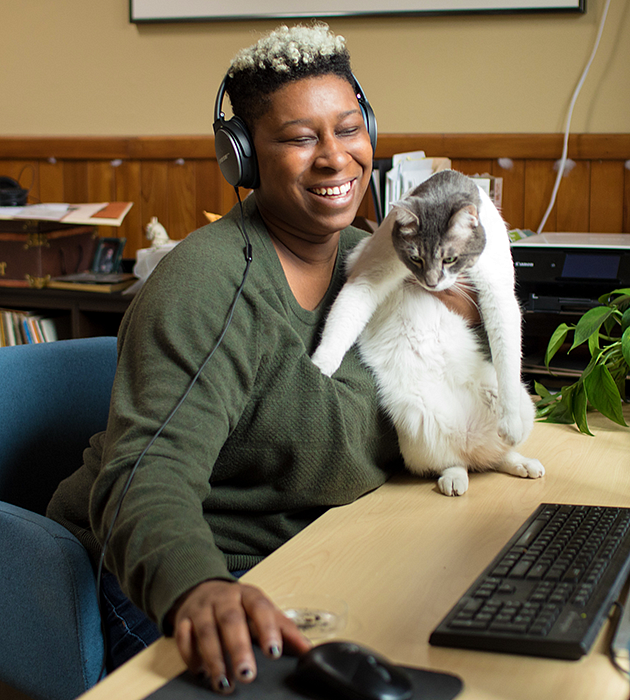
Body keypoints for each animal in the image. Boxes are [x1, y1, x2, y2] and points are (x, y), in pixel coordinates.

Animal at [314, 170, 544, 494]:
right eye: (416, 259)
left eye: (450, 259)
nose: (432, 283)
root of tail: (471, 441)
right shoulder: (368, 274)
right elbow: (342, 322)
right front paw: (320, 364)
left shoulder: (499, 294)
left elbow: (509, 356)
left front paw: (510, 423)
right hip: (416, 427)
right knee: (454, 462)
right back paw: (456, 480)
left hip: (519, 399)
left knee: (499, 455)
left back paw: (524, 463)